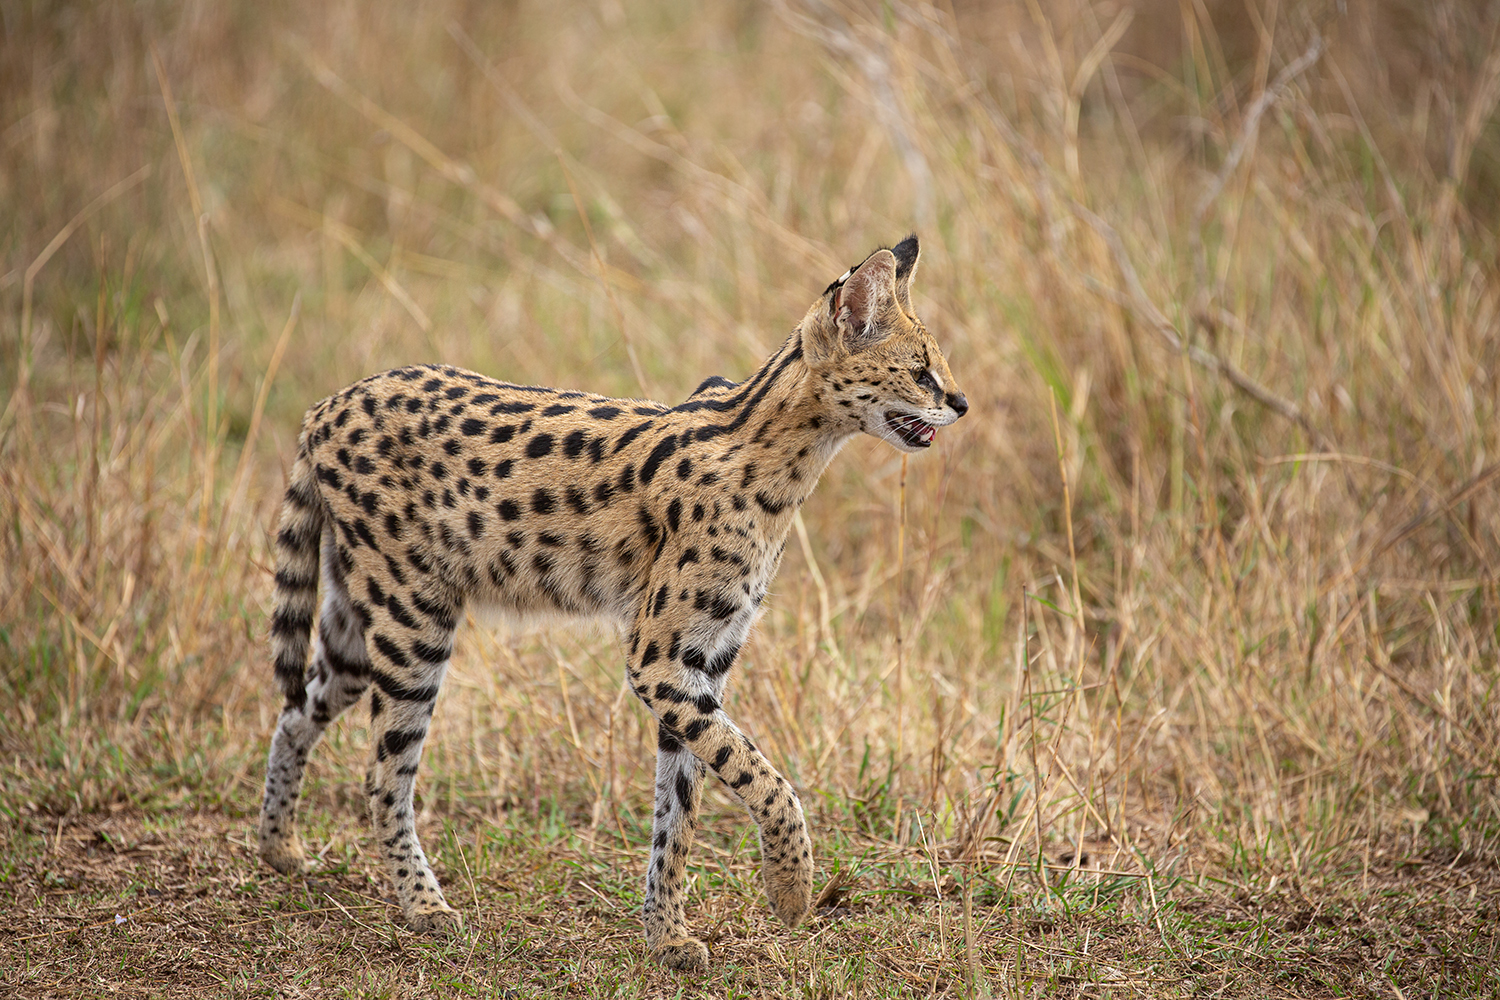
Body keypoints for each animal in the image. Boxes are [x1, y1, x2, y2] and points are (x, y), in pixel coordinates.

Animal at [258, 236, 966, 971]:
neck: (777, 457)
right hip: (413, 622)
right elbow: (764, 778)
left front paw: (667, 935)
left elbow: (680, 810)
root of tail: (330, 403)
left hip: (360, 622)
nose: (963, 403)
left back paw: (279, 848)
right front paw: (792, 888)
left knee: (296, 709)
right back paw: (423, 905)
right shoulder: (660, 660)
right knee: (381, 774)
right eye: (921, 372)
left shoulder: (701, 664)